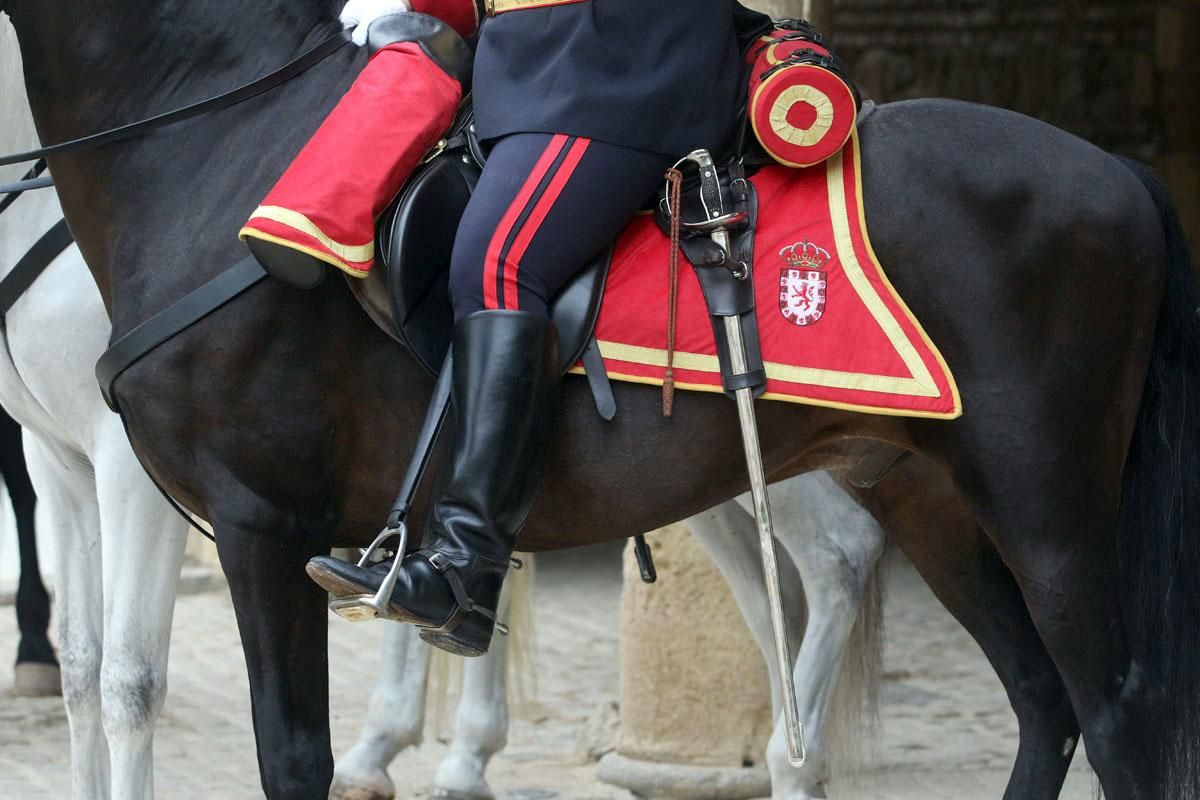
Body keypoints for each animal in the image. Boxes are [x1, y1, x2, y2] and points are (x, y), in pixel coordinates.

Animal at [4, 3, 1195, 796]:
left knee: (1116, 708)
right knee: (1042, 704)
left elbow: (257, 740)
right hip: (929, 495)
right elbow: (104, 674)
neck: (216, 146)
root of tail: (1124, 175)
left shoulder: (255, 524)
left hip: (1048, 511)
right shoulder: (102, 478)